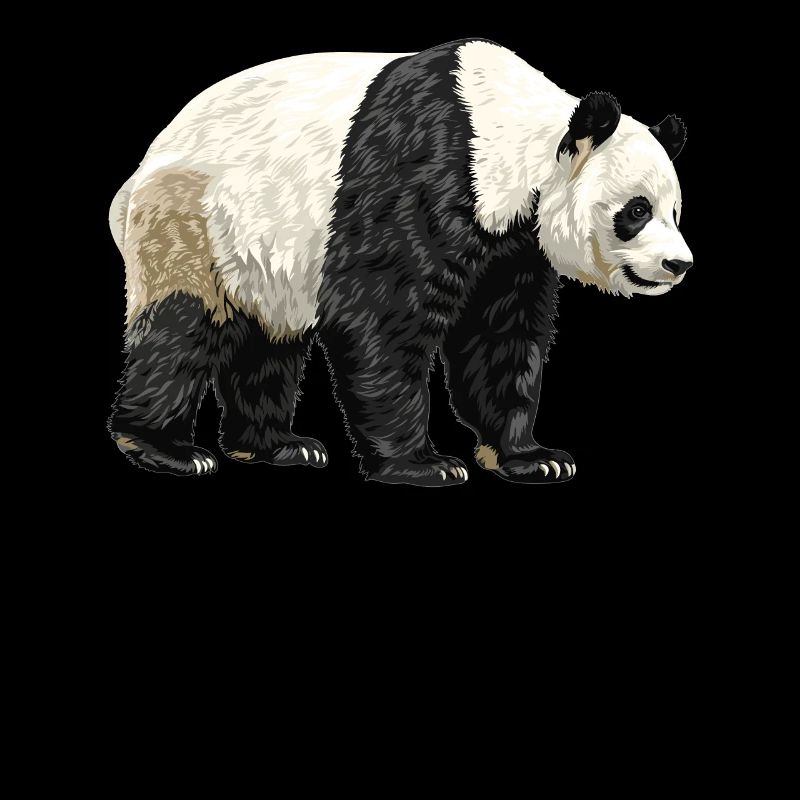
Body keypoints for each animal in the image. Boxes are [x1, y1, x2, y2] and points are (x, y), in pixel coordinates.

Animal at [109, 38, 692, 486]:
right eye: (636, 210)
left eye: (675, 210)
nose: (678, 264)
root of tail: (135, 177)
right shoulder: (424, 172)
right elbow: (380, 315)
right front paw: (424, 465)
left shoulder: (513, 245)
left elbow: (502, 333)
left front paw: (531, 458)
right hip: (192, 218)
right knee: (181, 325)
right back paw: (167, 450)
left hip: (260, 247)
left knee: (267, 338)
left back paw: (278, 446)